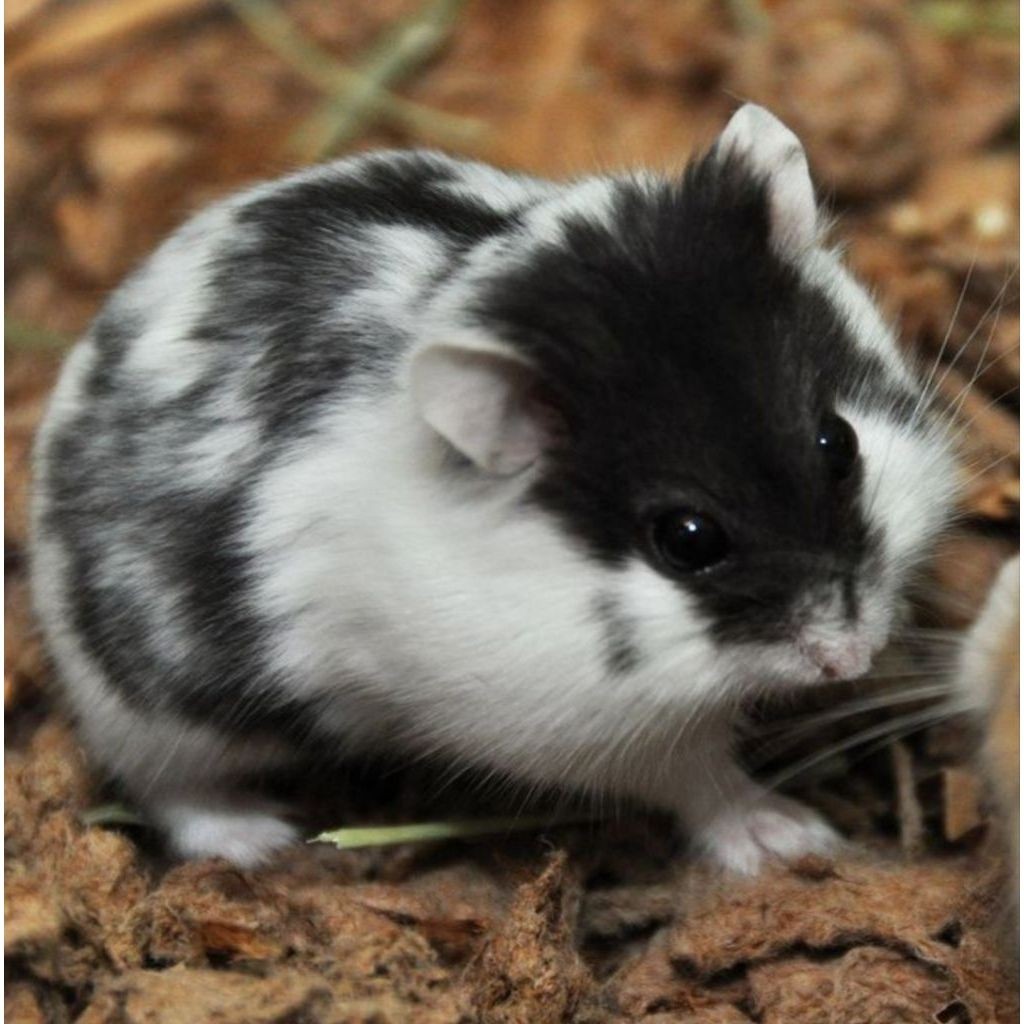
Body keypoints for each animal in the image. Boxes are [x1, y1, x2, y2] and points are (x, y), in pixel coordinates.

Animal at [29, 104, 958, 872]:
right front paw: (796, 841)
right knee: (169, 790)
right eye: (687, 540)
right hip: (153, 718)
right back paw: (261, 840)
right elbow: (701, 780)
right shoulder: (598, 733)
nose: (851, 656)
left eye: (838, 445)